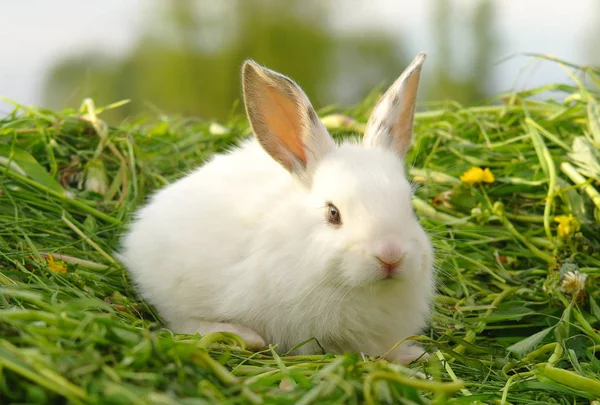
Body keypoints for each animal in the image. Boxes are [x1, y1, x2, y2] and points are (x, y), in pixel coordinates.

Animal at [118, 52, 436, 362]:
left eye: (409, 205)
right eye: (333, 213)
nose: (391, 256)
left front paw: (413, 354)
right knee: (180, 322)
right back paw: (245, 336)